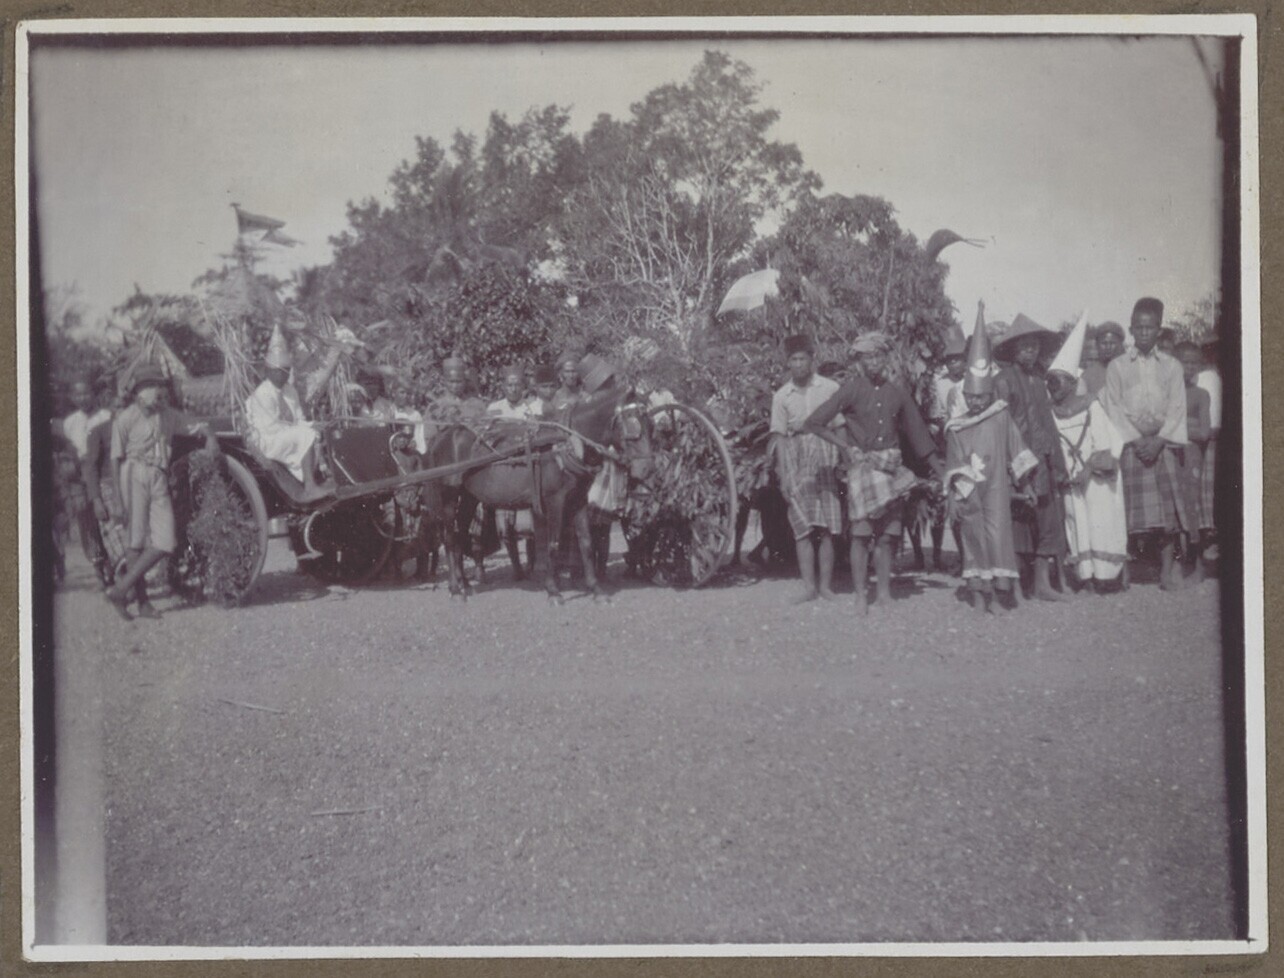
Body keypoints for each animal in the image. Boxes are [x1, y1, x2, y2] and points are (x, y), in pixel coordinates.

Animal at [418, 384, 653, 604]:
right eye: (633, 425)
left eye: (649, 423)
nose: (646, 469)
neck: (566, 442)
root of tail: (443, 435)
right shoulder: (555, 500)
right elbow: (552, 544)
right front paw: (553, 591)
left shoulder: (579, 499)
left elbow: (586, 543)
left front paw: (596, 589)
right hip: (449, 495)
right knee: (450, 538)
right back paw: (455, 589)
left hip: (469, 496)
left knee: (460, 534)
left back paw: (464, 583)